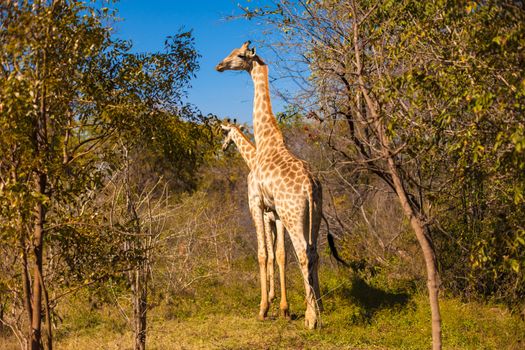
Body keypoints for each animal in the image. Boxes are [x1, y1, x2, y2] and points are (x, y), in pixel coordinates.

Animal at [219, 121, 288, 318]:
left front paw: (268, 299)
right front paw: (273, 295)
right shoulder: (272, 220)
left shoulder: (263, 216)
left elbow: (267, 254)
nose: (223, 147)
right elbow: (276, 254)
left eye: (224, 133)